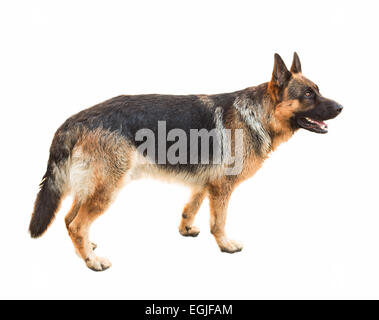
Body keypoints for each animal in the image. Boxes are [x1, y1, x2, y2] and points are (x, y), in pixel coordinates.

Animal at [29, 52, 344, 270]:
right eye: (308, 94)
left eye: (318, 89)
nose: (341, 107)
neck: (258, 114)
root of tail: (73, 121)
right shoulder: (222, 188)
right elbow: (219, 221)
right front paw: (225, 245)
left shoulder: (206, 183)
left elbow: (190, 207)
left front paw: (186, 229)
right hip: (107, 189)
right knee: (77, 224)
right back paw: (92, 261)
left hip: (92, 188)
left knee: (69, 220)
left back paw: (86, 250)